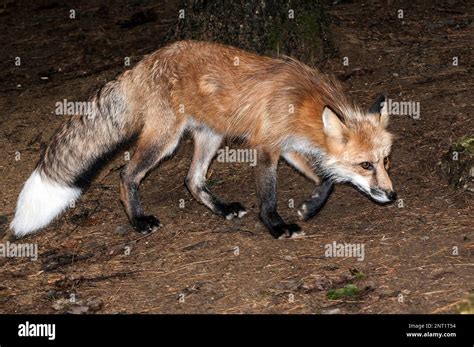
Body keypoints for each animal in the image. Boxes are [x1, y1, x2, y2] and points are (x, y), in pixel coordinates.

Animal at [11, 40, 396, 241]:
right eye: (365, 164)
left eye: (385, 161)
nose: (392, 196)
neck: (301, 102)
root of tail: (145, 61)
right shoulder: (267, 148)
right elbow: (269, 196)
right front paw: (276, 226)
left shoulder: (289, 148)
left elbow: (326, 180)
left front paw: (309, 207)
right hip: (164, 140)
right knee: (126, 174)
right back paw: (138, 220)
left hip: (211, 136)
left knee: (192, 180)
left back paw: (222, 209)